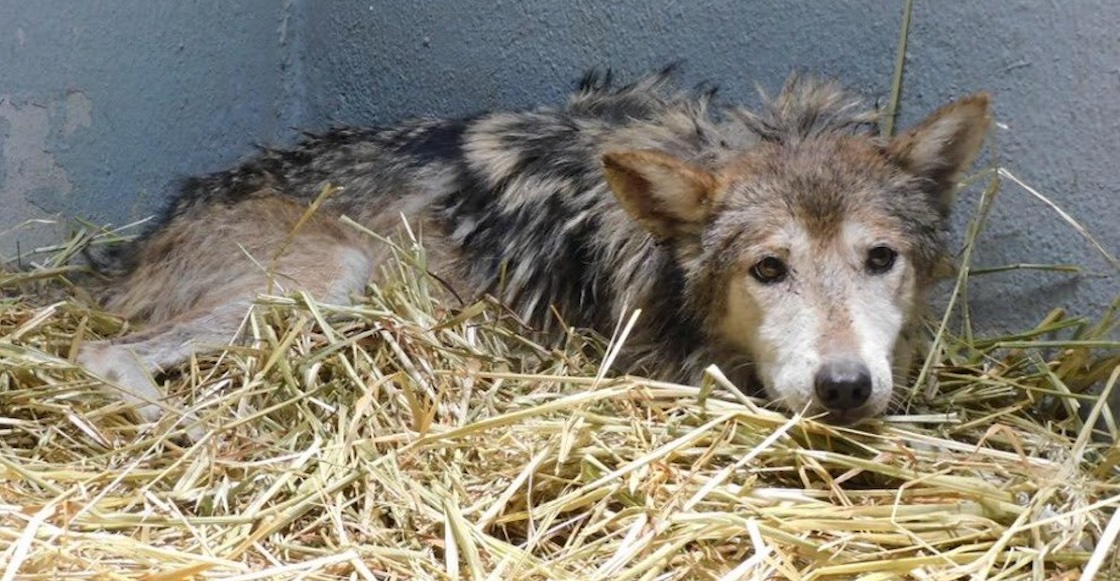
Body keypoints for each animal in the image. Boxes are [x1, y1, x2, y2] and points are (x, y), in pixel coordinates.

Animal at [78, 66, 990, 434]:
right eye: (768, 268)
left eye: (880, 259)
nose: (846, 385)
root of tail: (139, 241)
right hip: (327, 272)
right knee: (101, 353)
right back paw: (190, 428)